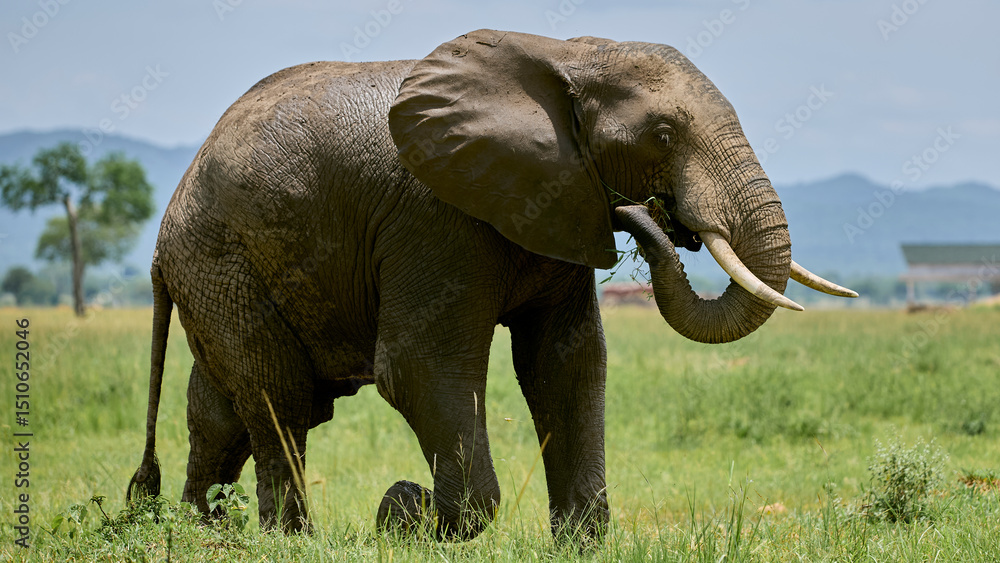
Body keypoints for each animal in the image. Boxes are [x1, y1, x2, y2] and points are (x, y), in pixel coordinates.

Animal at [127, 29, 855, 541]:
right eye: (664, 134)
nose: (653, 214)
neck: (565, 57)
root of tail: (166, 227)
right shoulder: (437, 216)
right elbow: (419, 369)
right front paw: (406, 513)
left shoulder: (560, 202)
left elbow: (567, 362)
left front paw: (579, 544)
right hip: (221, 259)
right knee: (278, 396)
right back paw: (290, 539)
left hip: (217, 272)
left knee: (220, 409)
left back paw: (200, 533)